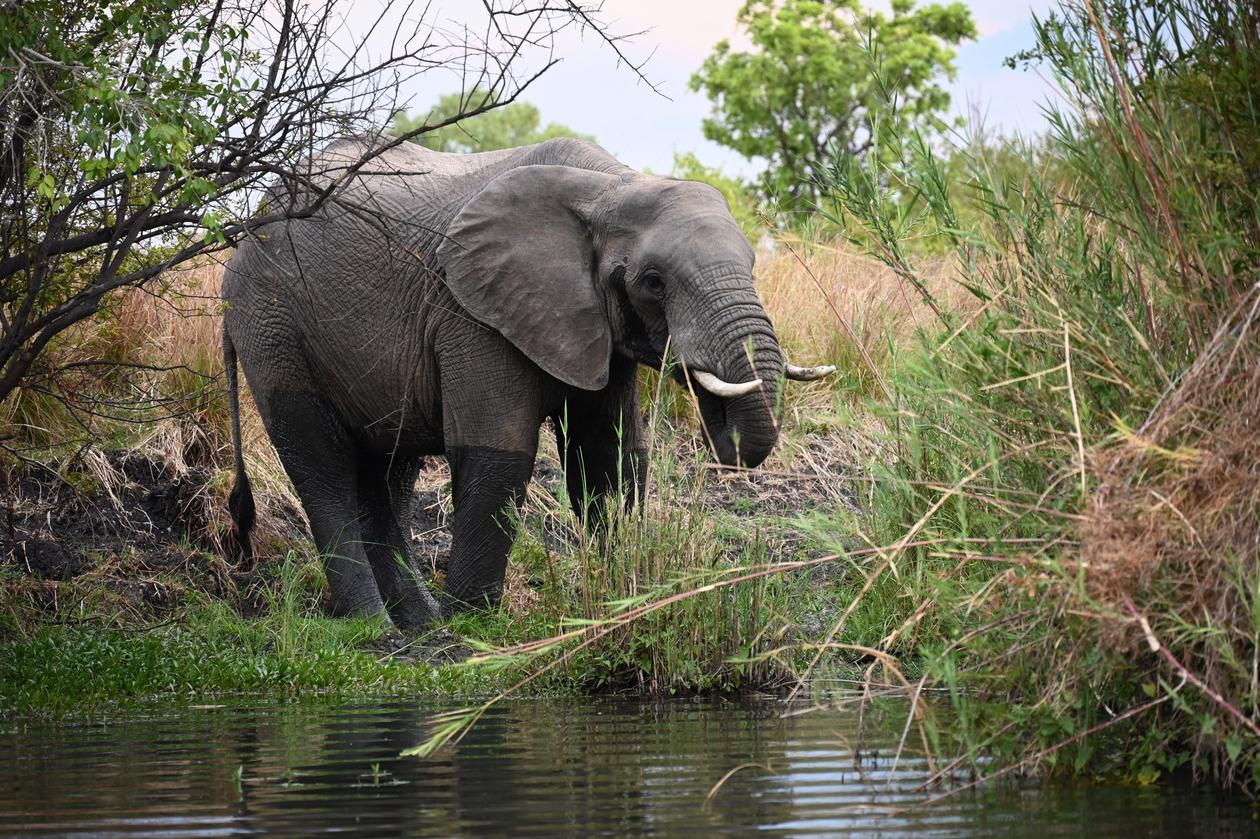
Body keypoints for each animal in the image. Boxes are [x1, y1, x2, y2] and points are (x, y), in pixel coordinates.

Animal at [222, 136, 832, 631]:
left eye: (752, 266)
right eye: (654, 282)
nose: (721, 433)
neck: (611, 185)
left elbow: (608, 457)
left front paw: (623, 593)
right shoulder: (471, 310)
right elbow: (499, 456)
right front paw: (474, 624)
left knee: (387, 473)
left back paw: (419, 626)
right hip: (272, 326)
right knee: (321, 466)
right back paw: (377, 630)